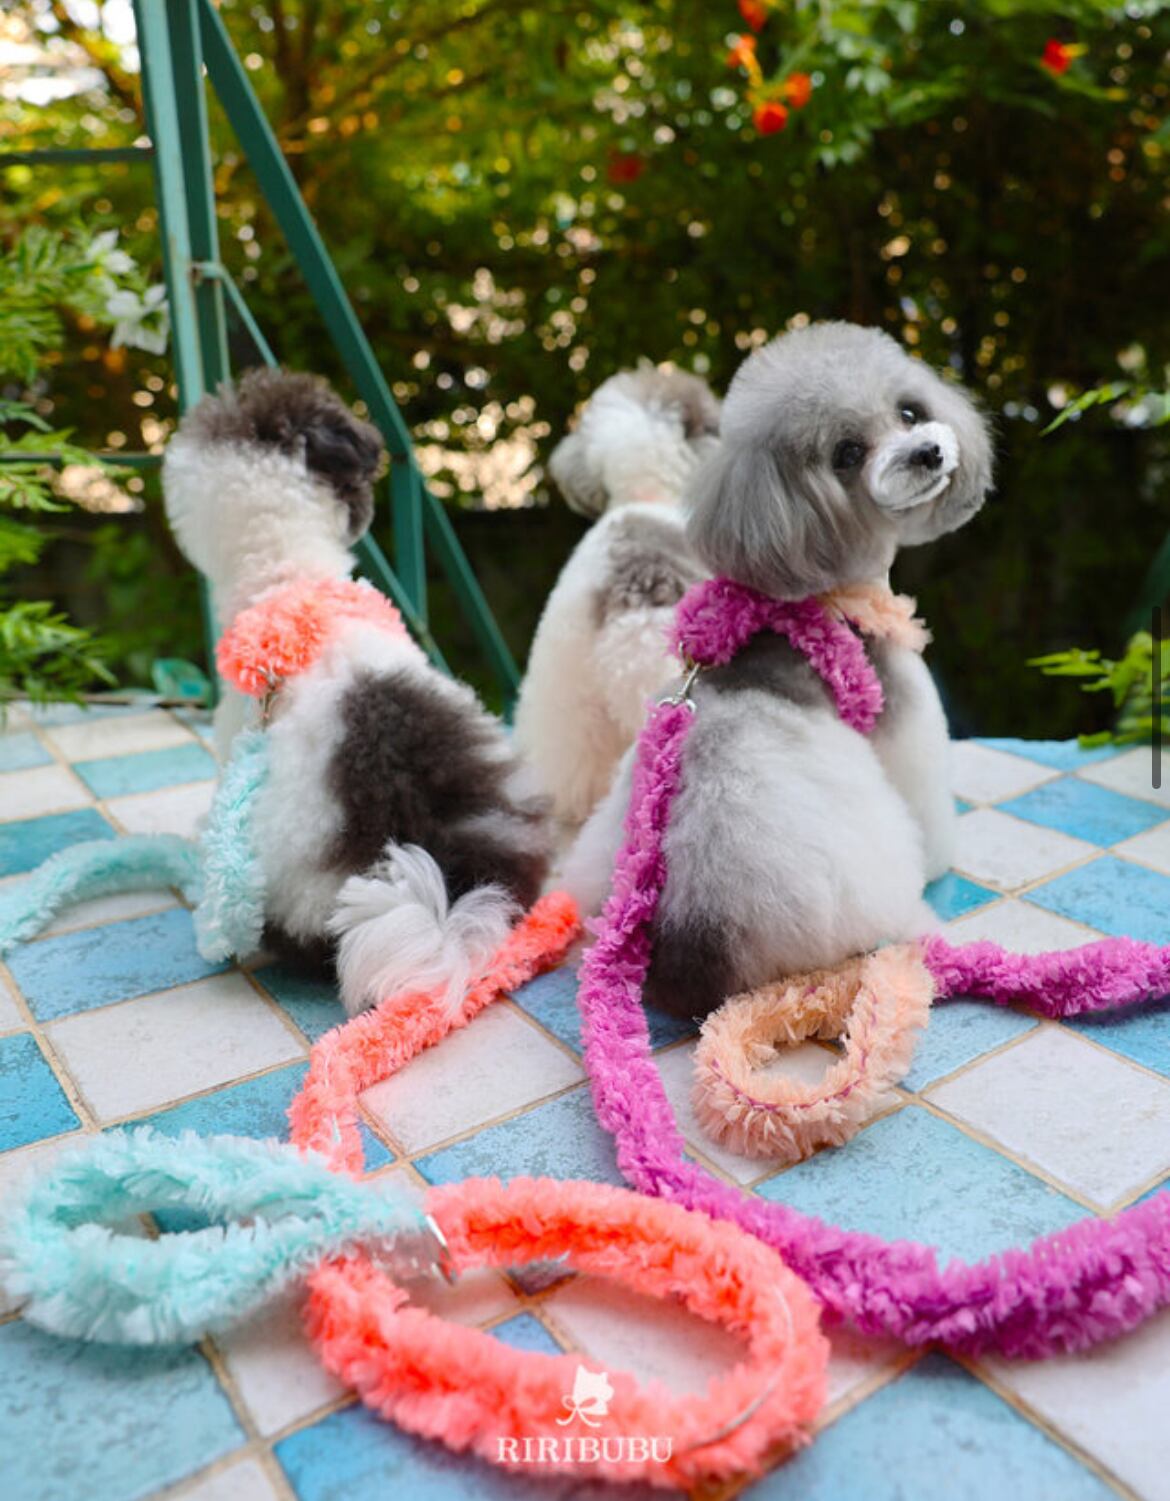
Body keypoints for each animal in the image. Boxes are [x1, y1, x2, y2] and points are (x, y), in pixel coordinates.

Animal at [562, 322, 992, 1019]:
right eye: (847, 452)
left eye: (908, 411)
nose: (927, 451)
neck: (824, 590)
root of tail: (695, 945)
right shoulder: (902, 709)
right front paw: (940, 858)